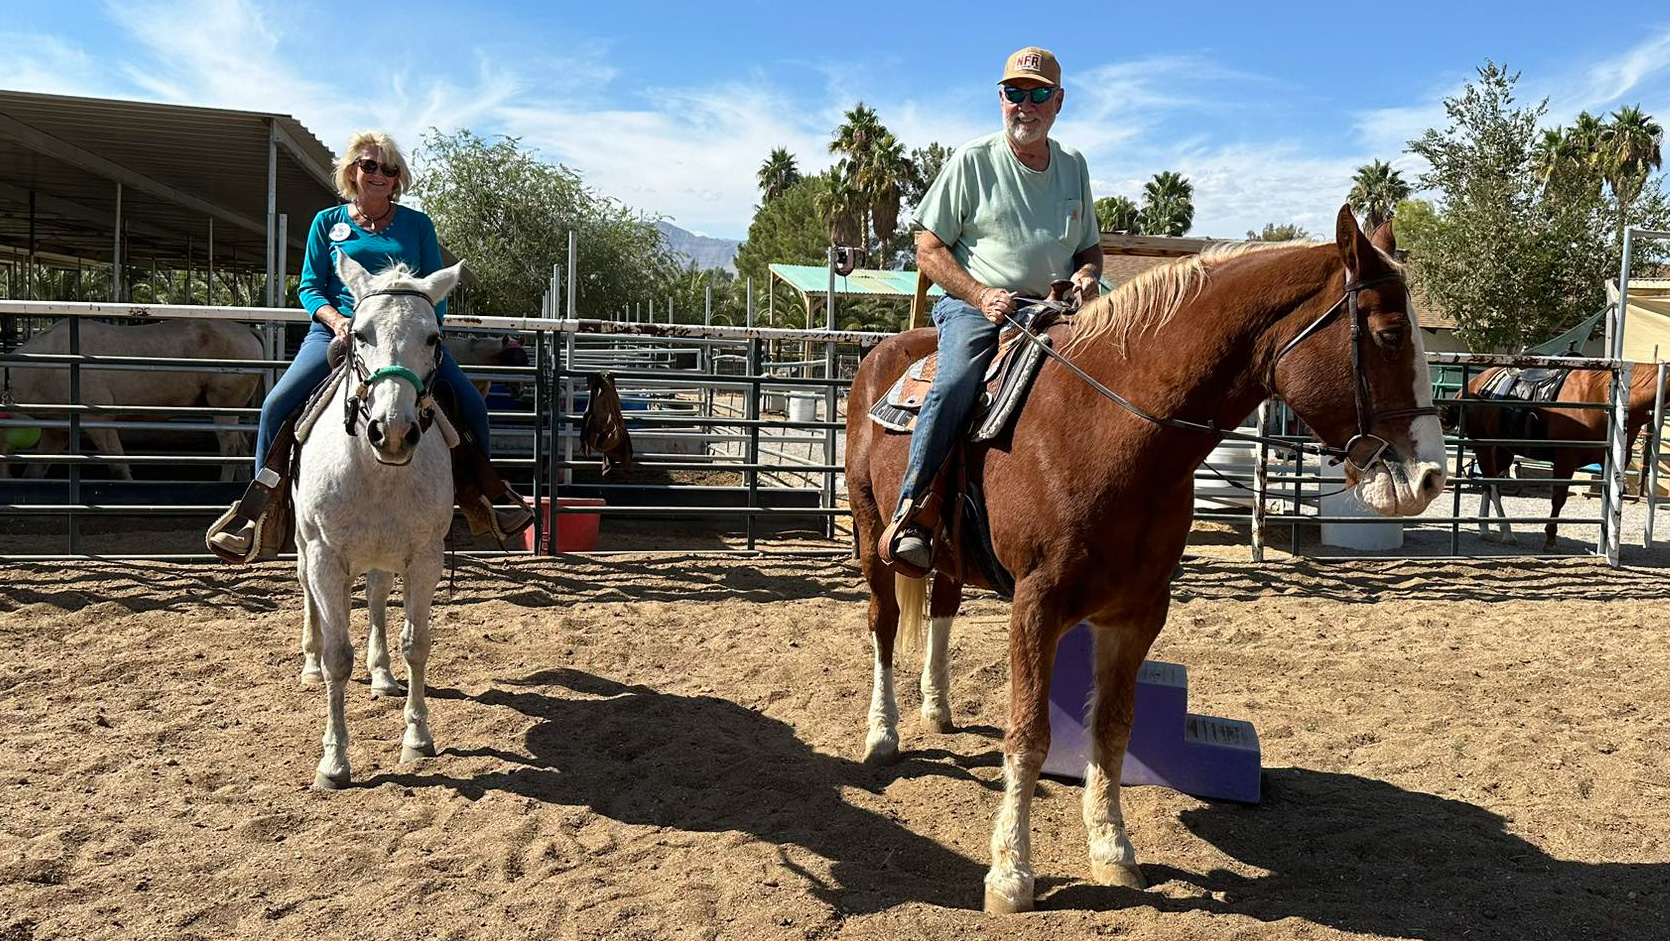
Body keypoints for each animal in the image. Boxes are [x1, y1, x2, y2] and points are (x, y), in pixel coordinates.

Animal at [0, 320, 263, 481]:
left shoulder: (99, 421)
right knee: (242, 447)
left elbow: (119, 466)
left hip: (223, 406)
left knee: (231, 448)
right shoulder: (58, 430)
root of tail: (249, 331)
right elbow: (35, 470)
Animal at [295, 250, 464, 788]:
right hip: (306, 551)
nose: (392, 432)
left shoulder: (425, 558)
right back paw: (309, 664)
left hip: (380, 558)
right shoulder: (326, 558)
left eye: (433, 338)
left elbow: (417, 644)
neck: (376, 471)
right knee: (309, 596)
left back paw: (383, 675)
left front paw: (417, 737)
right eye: (361, 333)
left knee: (373, 599)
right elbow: (337, 657)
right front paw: (333, 763)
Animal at [848, 206, 1449, 915]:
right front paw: (1011, 874)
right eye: (1388, 335)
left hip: (948, 556)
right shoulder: (1036, 605)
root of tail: (883, 354)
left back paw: (937, 708)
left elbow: (1112, 728)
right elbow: (1027, 736)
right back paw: (883, 734)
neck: (1107, 426)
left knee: (941, 608)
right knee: (885, 624)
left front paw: (1113, 852)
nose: (1430, 478)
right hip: (870, 533)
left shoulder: (1138, 612)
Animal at [1442, 362, 1663, 551]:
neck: (1603, 396)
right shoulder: (1566, 458)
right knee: (1493, 485)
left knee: (1488, 483)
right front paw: (1550, 540)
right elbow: (1558, 498)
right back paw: (1507, 533)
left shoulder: (1614, 461)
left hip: (1502, 451)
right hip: (1485, 447)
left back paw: (1485, 530)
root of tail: (1471, 386)